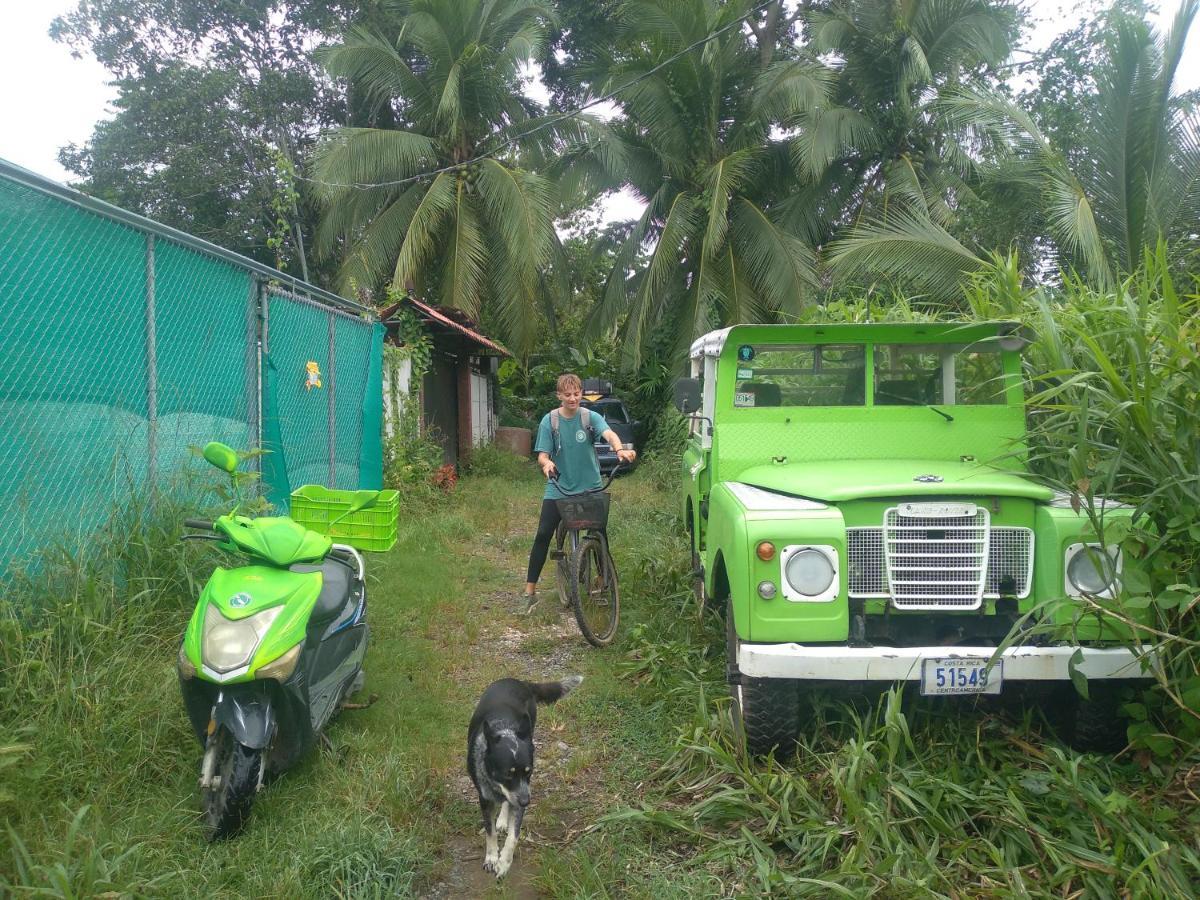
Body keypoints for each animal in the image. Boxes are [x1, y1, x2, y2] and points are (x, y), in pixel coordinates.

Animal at [465, 676, 583, 883]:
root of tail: (519, 681)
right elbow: (490, 831)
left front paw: (504, 863)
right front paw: (492, 858)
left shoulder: (520, 794)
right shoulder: (485, 799)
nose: (527, 801)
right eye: (507, 774)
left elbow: (514, 836)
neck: (504, 729)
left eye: (529, 772)